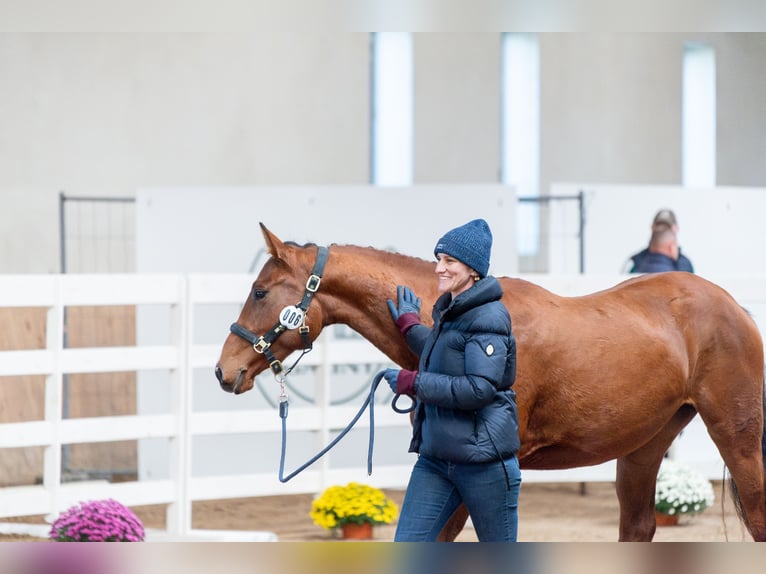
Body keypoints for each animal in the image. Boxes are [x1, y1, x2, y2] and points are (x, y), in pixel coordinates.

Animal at [215, 223, 766, 542]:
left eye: (260, 291)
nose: (224, 370)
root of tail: (734, 306)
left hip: (737, 438)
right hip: (644, 446)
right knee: (639, 526)